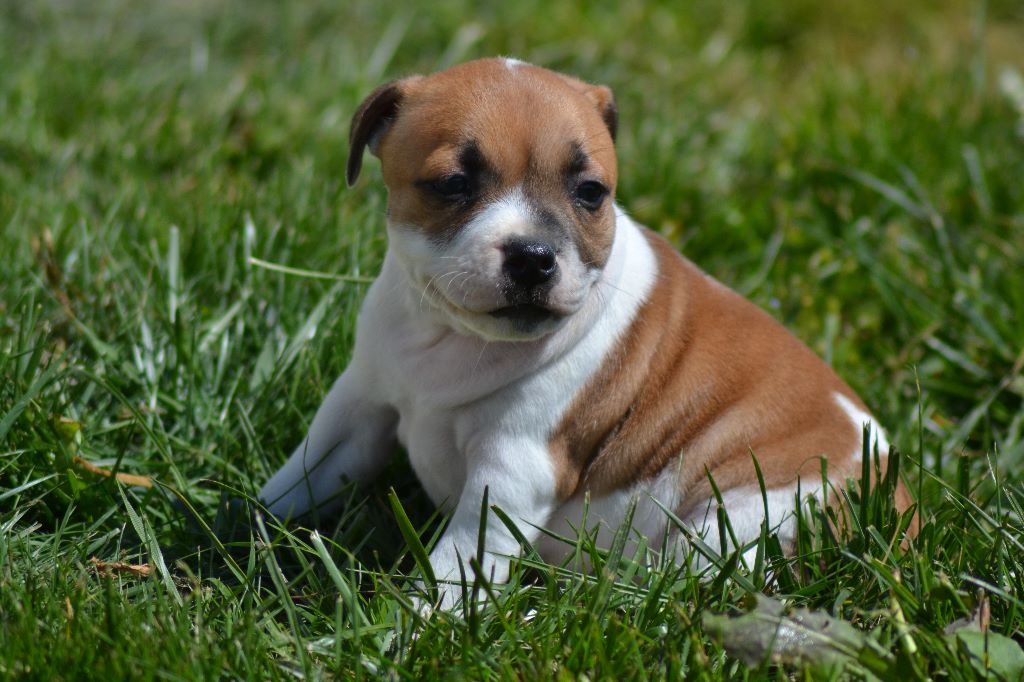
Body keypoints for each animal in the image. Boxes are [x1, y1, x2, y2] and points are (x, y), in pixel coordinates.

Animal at [259, 58, 912, 605]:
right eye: (452, 184)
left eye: (590, 193)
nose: (532, 256)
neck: (458, 340)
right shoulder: (359, 405)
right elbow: (303, 474)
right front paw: (250, 526)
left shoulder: (511, 472)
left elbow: (456, 565)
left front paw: (416, 627)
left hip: (744, 515)